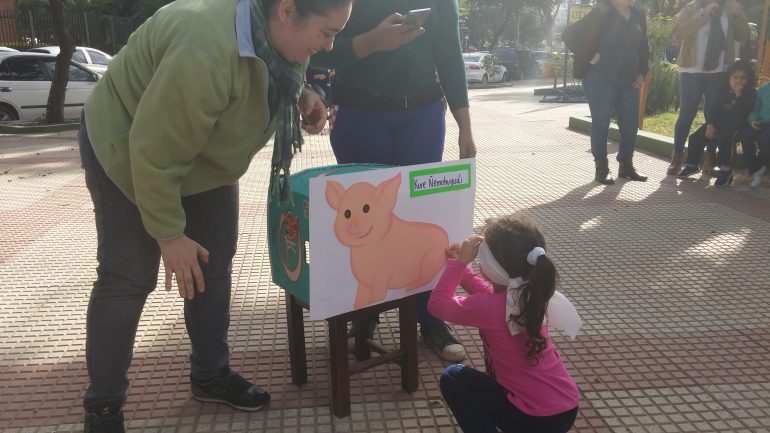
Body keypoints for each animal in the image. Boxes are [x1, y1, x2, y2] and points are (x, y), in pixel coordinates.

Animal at [325, 173, 448, 309]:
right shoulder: (363, 283)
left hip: (429, 261)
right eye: (347, 213)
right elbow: (360, 296)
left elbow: (379, 294)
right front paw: (357, 305)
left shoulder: (382, 275)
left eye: (366, 208)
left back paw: (409, 287)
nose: (352, 227)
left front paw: (372, 301)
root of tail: (446, 238)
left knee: (425, 279)